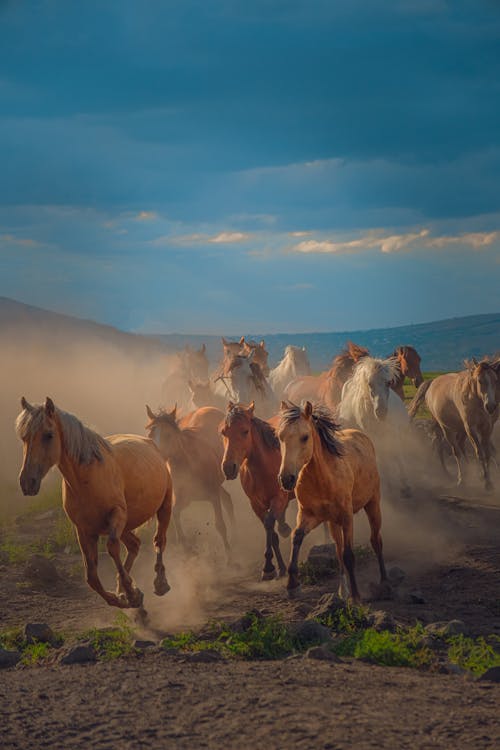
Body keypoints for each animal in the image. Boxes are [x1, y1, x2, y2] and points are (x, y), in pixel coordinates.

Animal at [16, 400, 172, 612]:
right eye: (24, 437)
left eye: (48, 435)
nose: (27, 482)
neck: (88, 478)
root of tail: (150, 443)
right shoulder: (84, 530)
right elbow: (91, 577)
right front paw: (124, 597)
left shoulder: (117, 515)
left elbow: (112, 548)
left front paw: (131, 594)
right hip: (125, 526)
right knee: (134, 545)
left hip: (163, 508)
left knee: (159, 541)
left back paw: (160, 583)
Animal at [145, 406, 234, 560]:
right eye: (150, 435)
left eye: (168, 435)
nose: (157, 459)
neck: (190, 463)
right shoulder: (184, 499)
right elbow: (175, 514)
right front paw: (186, 548)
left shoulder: (213, 495)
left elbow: (220, 525)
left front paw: (231, 559)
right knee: (227, 499)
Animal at [220, 402, 292, 584]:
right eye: (223, 432)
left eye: (245, 431)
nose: (228, 467)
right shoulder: (256, 505)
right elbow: (271, 532)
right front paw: (279, 568)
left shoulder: (278, 498)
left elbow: (269, 524)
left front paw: (268, 568)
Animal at [278, 402, 386, 604]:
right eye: (280, 437)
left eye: (305, 437)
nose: (286, 479)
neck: (322, 478)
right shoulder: (309, 516)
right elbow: (297, 537)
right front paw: (292, 585)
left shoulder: (347, 517)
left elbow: (349, 554)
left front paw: (356, 597)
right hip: (333, 522)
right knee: (337, 549)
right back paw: (343, 591)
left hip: (373, 504)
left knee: (376, 540)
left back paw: (385, 582)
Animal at [408, 360, 498, 494]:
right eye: (480, 380)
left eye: (495, 380)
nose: (491, 406)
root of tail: (432, 383)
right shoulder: (470, 428)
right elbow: (479, 453)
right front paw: (486, 482)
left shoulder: (487, 427)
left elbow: (488, 452)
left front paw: (489, 481)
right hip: (446, 428)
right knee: (452, 450)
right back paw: (459, 478)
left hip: (458, 429)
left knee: (455, 445)